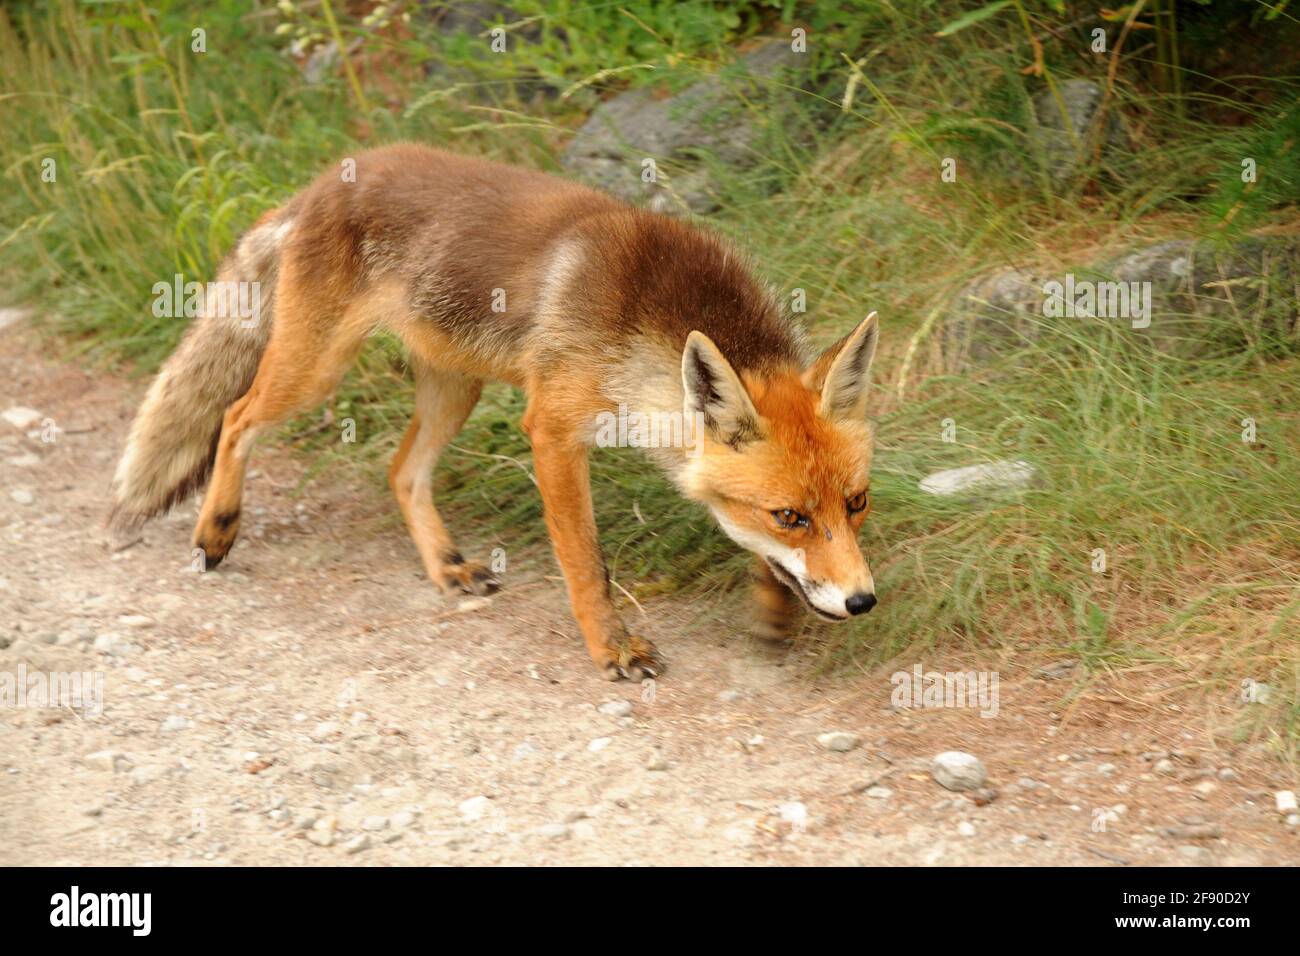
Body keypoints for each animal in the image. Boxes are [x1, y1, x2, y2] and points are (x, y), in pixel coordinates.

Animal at [109, 143, 883, 681]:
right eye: (790, 515)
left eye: (857, 503)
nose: (863, 603)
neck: (639, 320)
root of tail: (319, 182)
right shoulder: (554, 431)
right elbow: (586, 563)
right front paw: (612, 649)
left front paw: (775, 606)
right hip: (314, 370)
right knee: (235, 418)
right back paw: (216, 529)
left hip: (454, 390)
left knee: (400, 471)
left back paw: (445, 567)